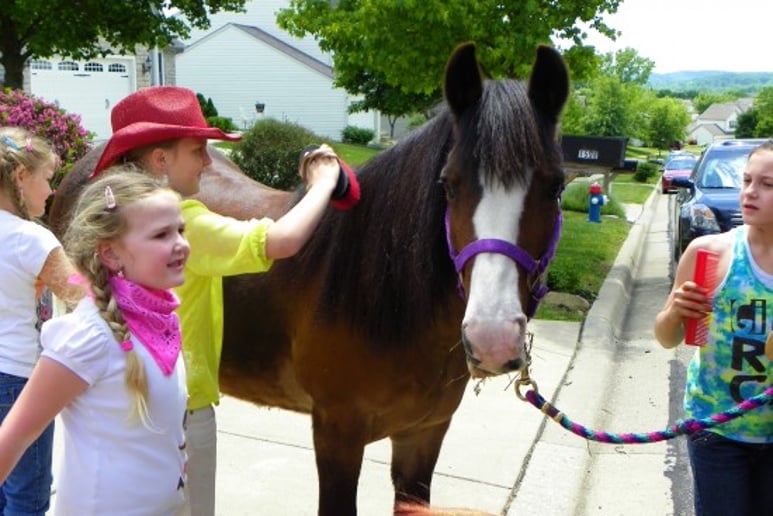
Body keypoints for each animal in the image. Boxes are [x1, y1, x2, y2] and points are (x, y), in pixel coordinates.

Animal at [48, 42, 569, 515]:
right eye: (450, 184)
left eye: (556, 186)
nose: (493, 338)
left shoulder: (424, 435)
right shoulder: (337, 434)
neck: (387, 302)